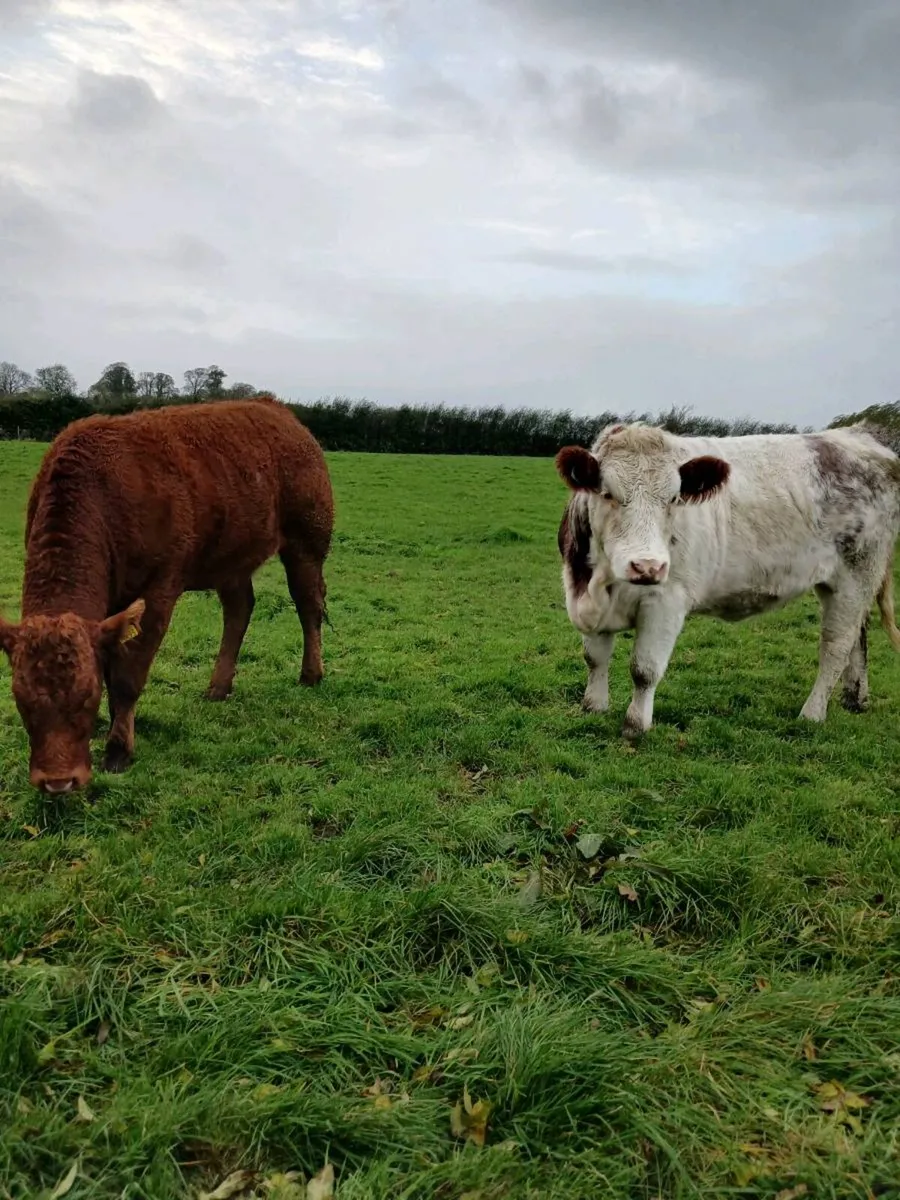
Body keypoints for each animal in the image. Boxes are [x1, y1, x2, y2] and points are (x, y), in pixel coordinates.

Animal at [0, 395, 334, 794]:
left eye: (87, 695)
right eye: (20, 699)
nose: (58, 781)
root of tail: (277, 408)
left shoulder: (158, 591)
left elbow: (127, 677)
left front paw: (118, 749)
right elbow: (113, 665)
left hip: (307, 540)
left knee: (308, 605)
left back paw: (311, 673)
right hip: (231, 556)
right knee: (239, 610)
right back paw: (218, 686)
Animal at [555, 420, 900, 738]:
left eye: (673, 499)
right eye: (607, 494)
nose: (647, 566)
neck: (599, 583)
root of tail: (856, 435)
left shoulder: (666, 601)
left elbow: (644, 669)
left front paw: (635, 725)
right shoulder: (587, 599)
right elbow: (595, 658)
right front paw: (594, 707)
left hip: (856, 575)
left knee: (836, 645)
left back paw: (812, 713)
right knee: (857, 638)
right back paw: (855, 698)